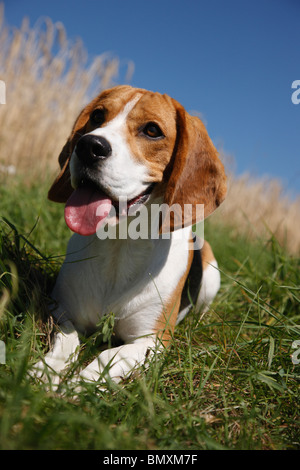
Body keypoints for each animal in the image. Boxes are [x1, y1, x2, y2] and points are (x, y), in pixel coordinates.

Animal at [32, 86, 226, 388]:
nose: (88, 146)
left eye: (152, 130)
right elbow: (67, 342)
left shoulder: (152, 341)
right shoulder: (61, 311)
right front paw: (47, 371)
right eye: (97, 115)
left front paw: (77, 387)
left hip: (211, 278)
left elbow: (107, 357)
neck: (121, 244)